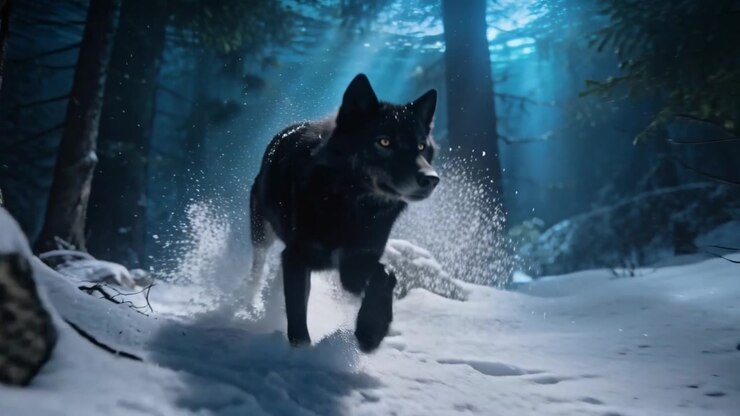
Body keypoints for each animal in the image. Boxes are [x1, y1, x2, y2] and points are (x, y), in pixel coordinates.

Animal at [248, 74, 438, 352]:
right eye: (385, 141)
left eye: (422, 146)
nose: (431, 179)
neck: (349, 206)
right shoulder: (296, 256)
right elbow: (297, 316)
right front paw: (301, 353)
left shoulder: (355, 262)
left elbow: (386, 273)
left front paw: (371, 329)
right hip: (261, 234)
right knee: (258, 268)